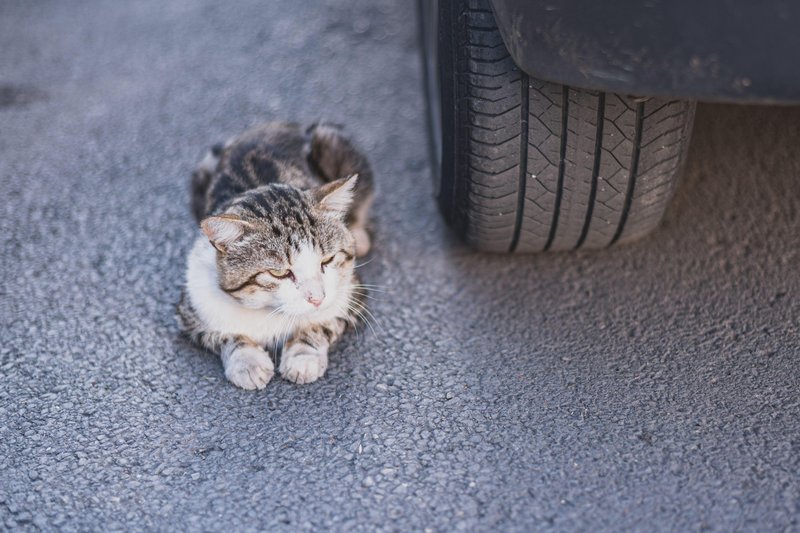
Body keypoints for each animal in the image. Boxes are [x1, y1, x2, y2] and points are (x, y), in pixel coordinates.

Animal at [177, 122, 374, 388]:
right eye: (278, 273)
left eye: (327, 260)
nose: (317, 298)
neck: (269, 310)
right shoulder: (191, 307)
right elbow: (224, 334)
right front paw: (247, 361)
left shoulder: (352, 293)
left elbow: (323, 323)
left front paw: (303, 356)